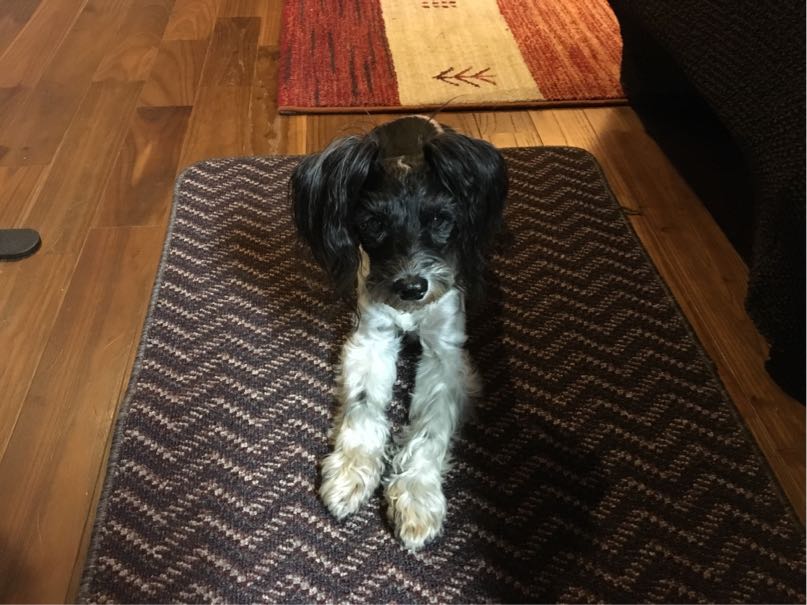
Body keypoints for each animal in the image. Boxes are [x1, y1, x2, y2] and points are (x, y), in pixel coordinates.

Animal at [291, 115, 507, 550]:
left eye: (440, 219)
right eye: (373, 223)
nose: (411, 287)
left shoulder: (446, 354)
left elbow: (431, 427)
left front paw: (417, 498)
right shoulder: (371, 339)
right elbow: (362, 406)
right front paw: (349, 473)